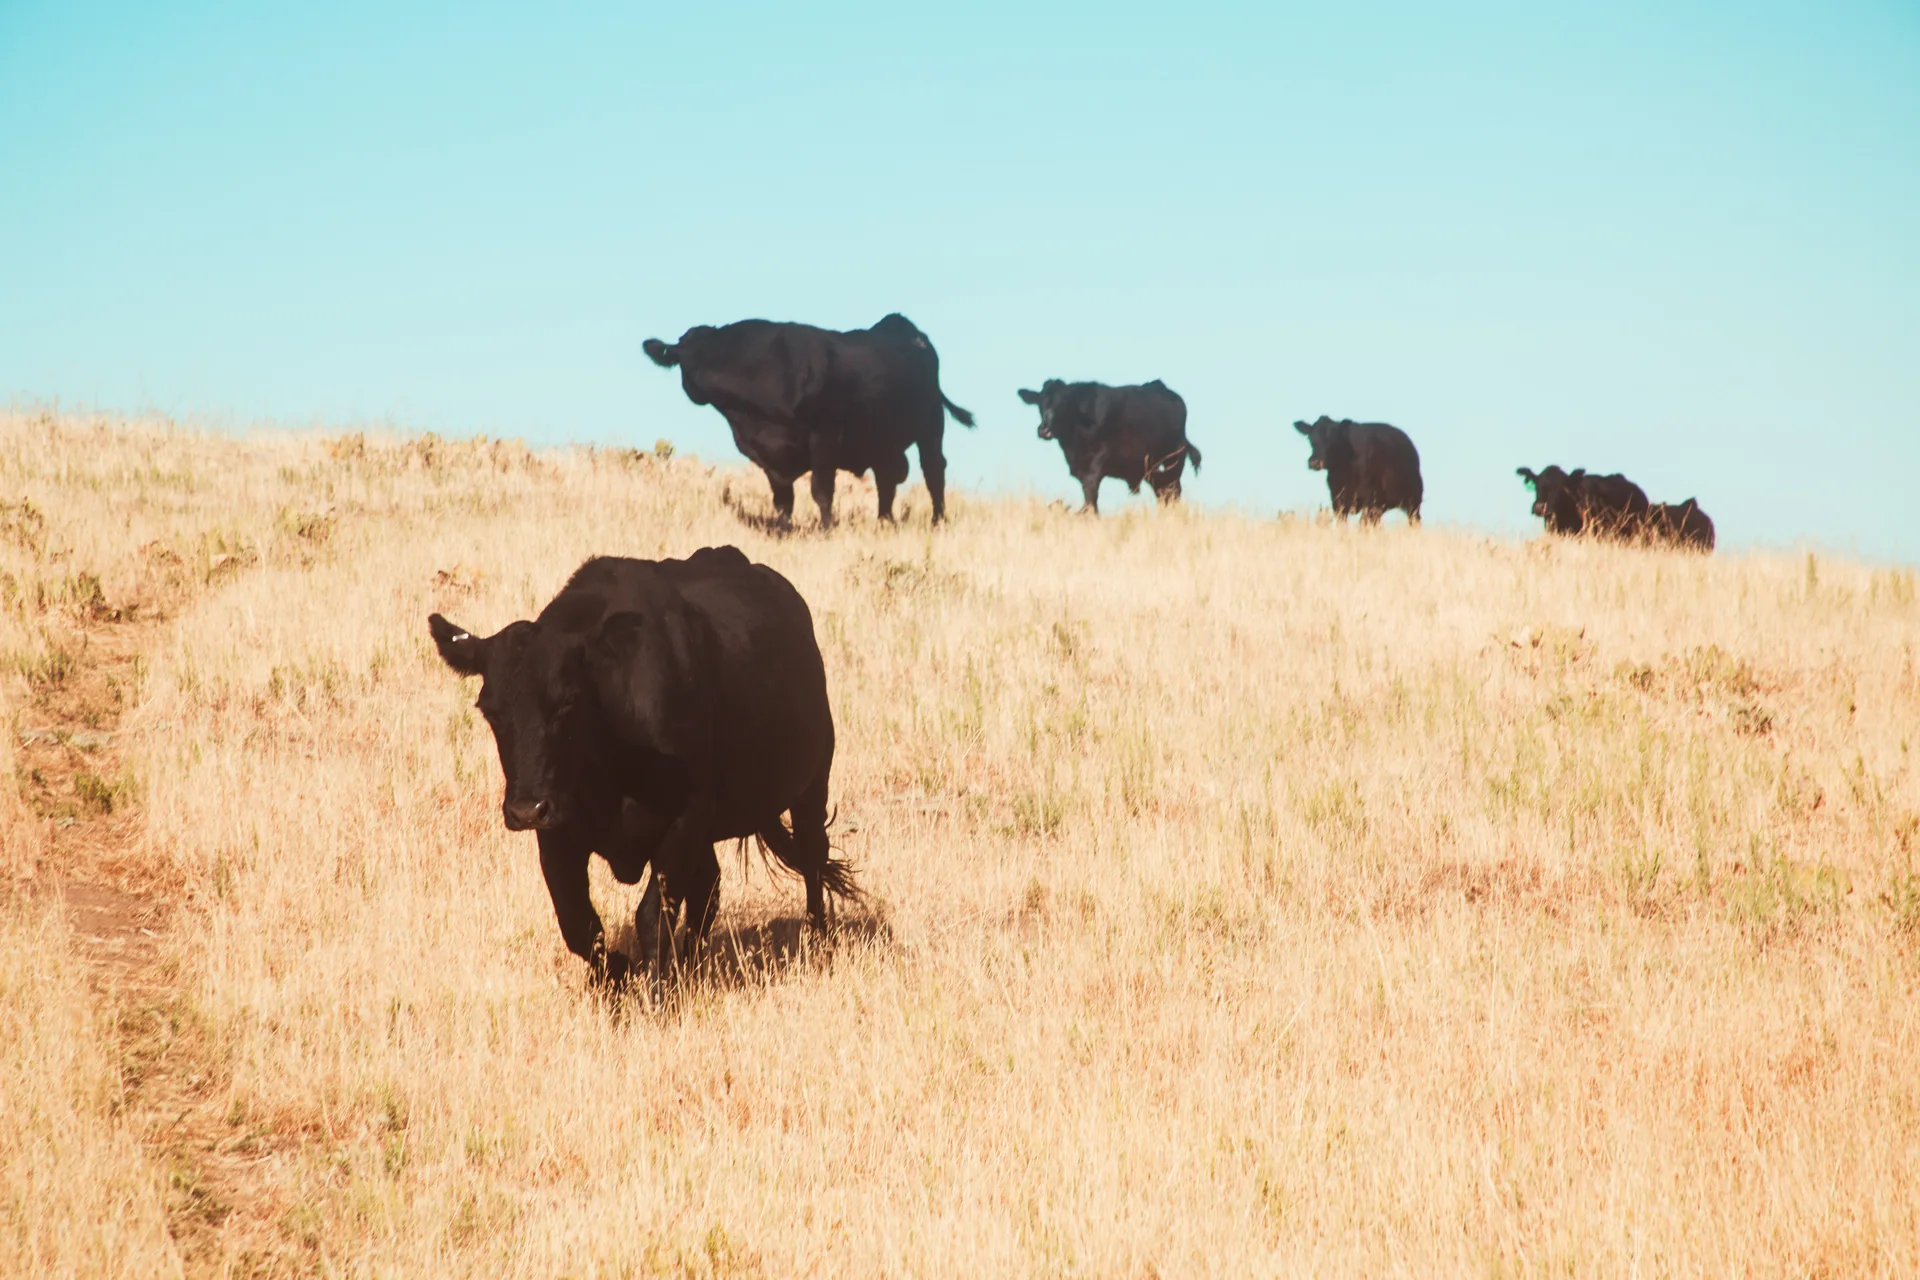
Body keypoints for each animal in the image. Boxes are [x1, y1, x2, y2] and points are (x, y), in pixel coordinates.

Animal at [428, 547, 854, 988]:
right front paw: (618, 973)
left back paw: (818, 938)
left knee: (811, 857)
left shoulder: (684, 820)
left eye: (567, 701)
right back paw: (690, 965)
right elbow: (578, 923)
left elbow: (652, 916)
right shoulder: (557, 833)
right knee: (710, 885)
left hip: (812, 784)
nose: (526, 810)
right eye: (489, 710)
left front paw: (653, 989)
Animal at [642, 314, 973, 528]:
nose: (697, 386)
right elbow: (782, 499)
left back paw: (938, 521)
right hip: (882, 439)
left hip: (931, 424)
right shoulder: (765, 453)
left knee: (933, 471)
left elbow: (821, 490)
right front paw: (783, 529)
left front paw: (827, 528)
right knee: (887, 478)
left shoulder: (825, 436)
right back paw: (884, 521)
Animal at [1017, 379, 1200, 513]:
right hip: (1153, 469)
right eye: (1040, 404)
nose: (1044, 430)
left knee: (1173, 492)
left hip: (1173, 460)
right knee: (1163, 493)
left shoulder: (1098, 459)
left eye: (1064, 404)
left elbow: (1090, 492)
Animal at [1292, 416, 1423, 523]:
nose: (1314, 462)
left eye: (1333, 439)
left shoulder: (1371, 501)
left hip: (1413, 502)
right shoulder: (1338, 501)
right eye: (1310, 438)